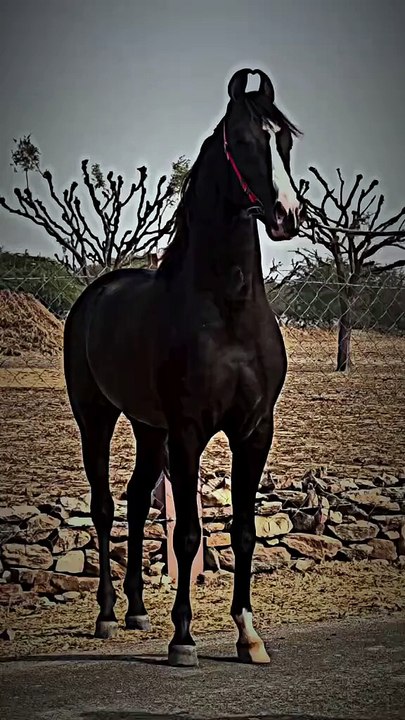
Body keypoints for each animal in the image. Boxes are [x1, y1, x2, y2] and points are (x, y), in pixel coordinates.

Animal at [63, 68, 304, 667]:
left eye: (285, 142)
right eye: (243, 140)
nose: (287, 216)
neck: (228, 311)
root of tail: (93, 296)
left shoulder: (253, 431)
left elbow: (243, 532)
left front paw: (248, 635)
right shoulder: (191, 431)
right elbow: (190, 535)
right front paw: (184, 639)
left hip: (149, 429)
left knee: (133, 501)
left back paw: (135, 610)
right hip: (96, 419)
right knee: (104, 507)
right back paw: (107, 614)